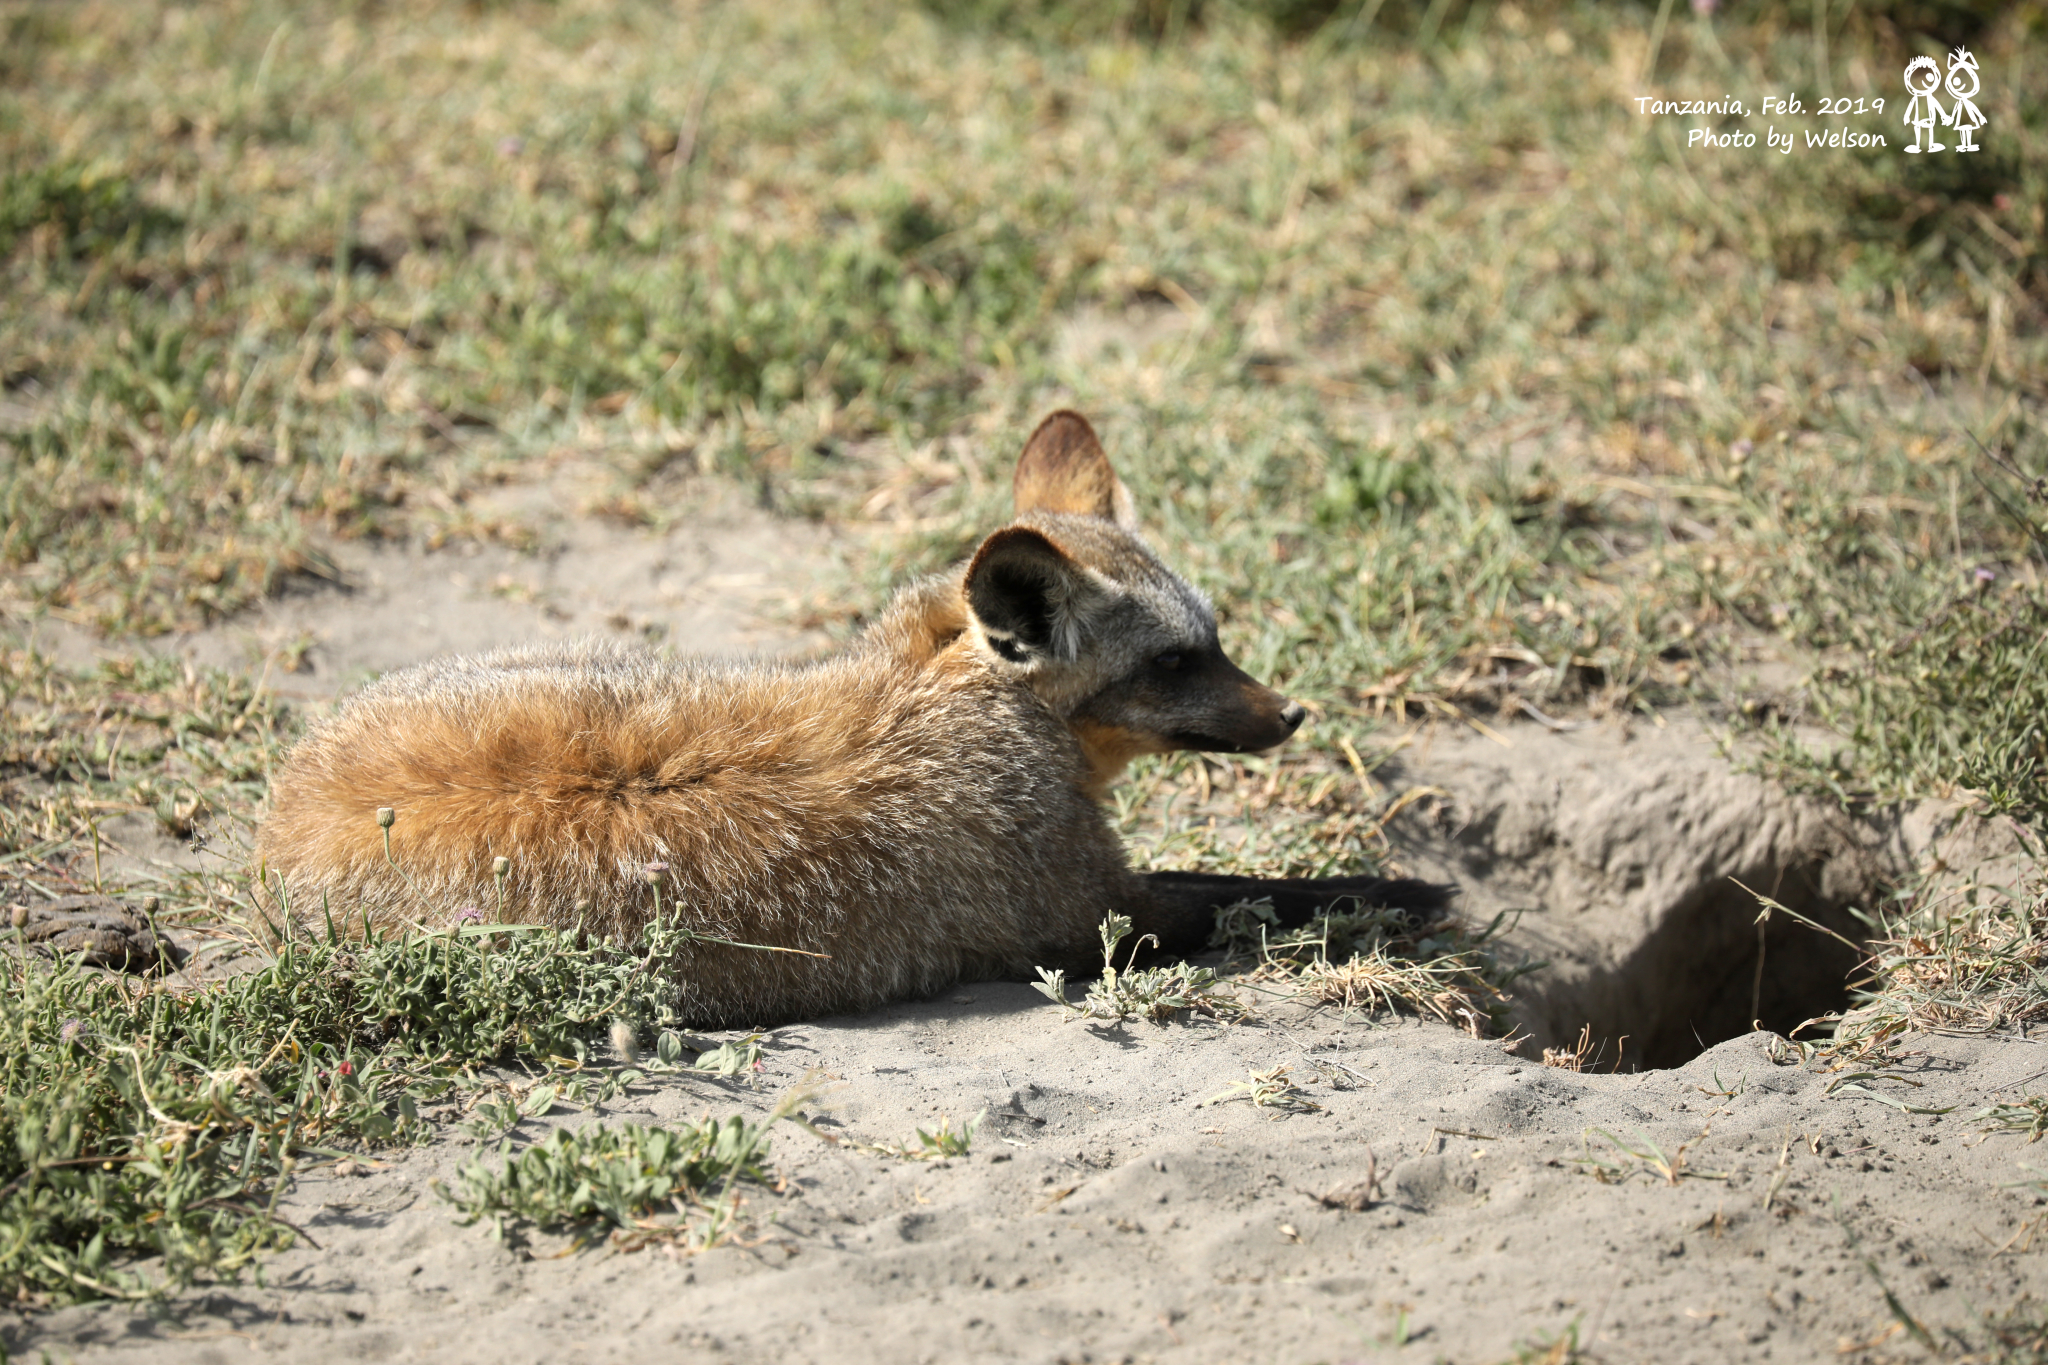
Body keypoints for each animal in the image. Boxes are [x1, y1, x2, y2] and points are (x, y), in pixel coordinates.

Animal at [260, 413, 1441, 1023]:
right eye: (1176, 662)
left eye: (1216, 638)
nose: (1291, 714)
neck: (955, 691)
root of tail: (277, 827)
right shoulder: (1091, 916)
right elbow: (1255, 891)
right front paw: (1402, 891)